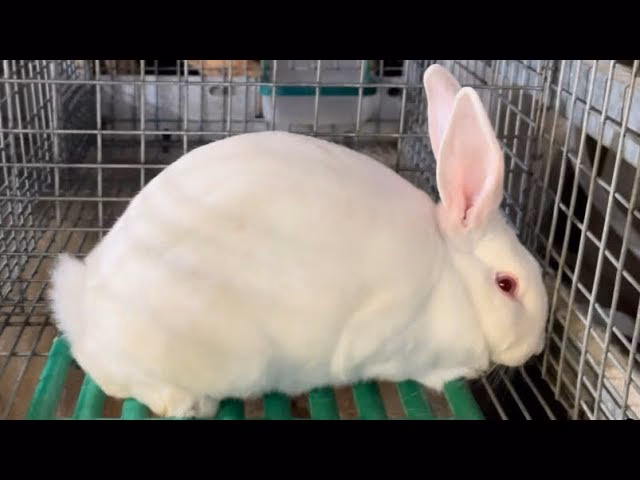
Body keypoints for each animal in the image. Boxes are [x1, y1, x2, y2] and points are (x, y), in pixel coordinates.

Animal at [48, 64, 549, 418]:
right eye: (506, 284)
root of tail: (83, 304)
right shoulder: (398, 346)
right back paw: (191, 404)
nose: (535, 349)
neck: (452, 279)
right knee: (111, 373)